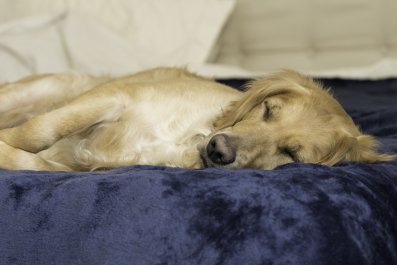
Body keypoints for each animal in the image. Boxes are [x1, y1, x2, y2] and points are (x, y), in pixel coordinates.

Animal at [0, 67, 392, 170]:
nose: (219, 149)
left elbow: (37, 163)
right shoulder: (113, 97)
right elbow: (40, 130)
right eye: (268, 110)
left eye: (291, 154)